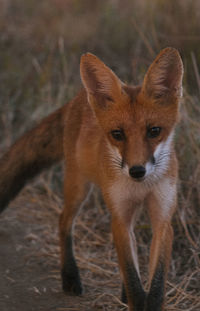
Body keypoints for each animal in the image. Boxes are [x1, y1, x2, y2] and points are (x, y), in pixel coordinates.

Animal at [0, 47, 184, 310]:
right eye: (117, 134)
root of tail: (78, 98)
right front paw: (135, 300)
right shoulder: (119, 216)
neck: (141, 186)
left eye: (154, 131)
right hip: (79, 187)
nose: (137, 171)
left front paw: (147, 300)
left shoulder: (162, 218)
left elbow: (155, 283)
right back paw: (70, 276)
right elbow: (133, 280)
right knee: (63, 221)